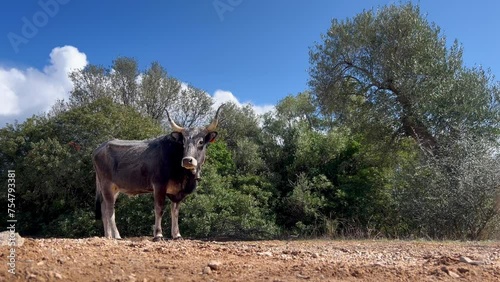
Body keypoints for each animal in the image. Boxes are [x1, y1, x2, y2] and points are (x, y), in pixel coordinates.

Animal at [93, 104, 222, 241]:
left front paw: (177, 235)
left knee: (104, 208)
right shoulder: (159, 185)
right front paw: (158, 234)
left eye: (201, 142)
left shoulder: (177, 192)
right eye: (183, 142)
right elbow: (159, 208)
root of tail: (100, 147)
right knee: (110, 208)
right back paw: (117, 235)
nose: (187, 160)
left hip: (115, 188)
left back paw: (108, 236)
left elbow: (175, 211)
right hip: (106, 184)